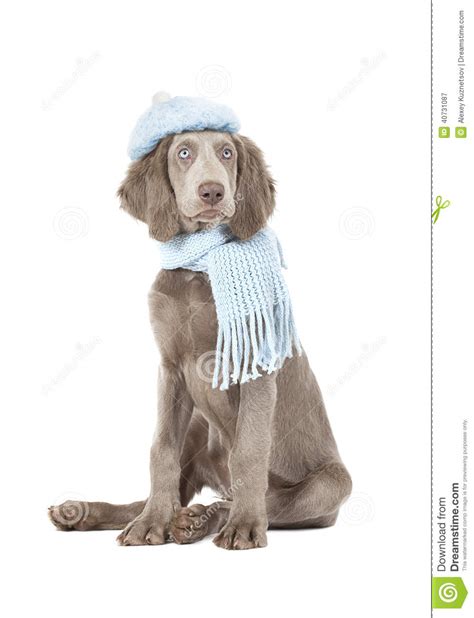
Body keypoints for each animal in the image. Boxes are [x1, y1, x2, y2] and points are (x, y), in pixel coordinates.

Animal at [49, 127, 352, 548]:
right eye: (183, 153)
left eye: (227, 152)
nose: (212, 192)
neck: (199, 266)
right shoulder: (171, 368)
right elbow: (161, 449)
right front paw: (150, 523)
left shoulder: (255, 366)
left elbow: (249, 451)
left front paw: (243, 525)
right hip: (197, 429)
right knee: (162, 495)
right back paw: (88, 512)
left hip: (331, 484)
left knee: (266, 502)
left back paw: (206, 518)